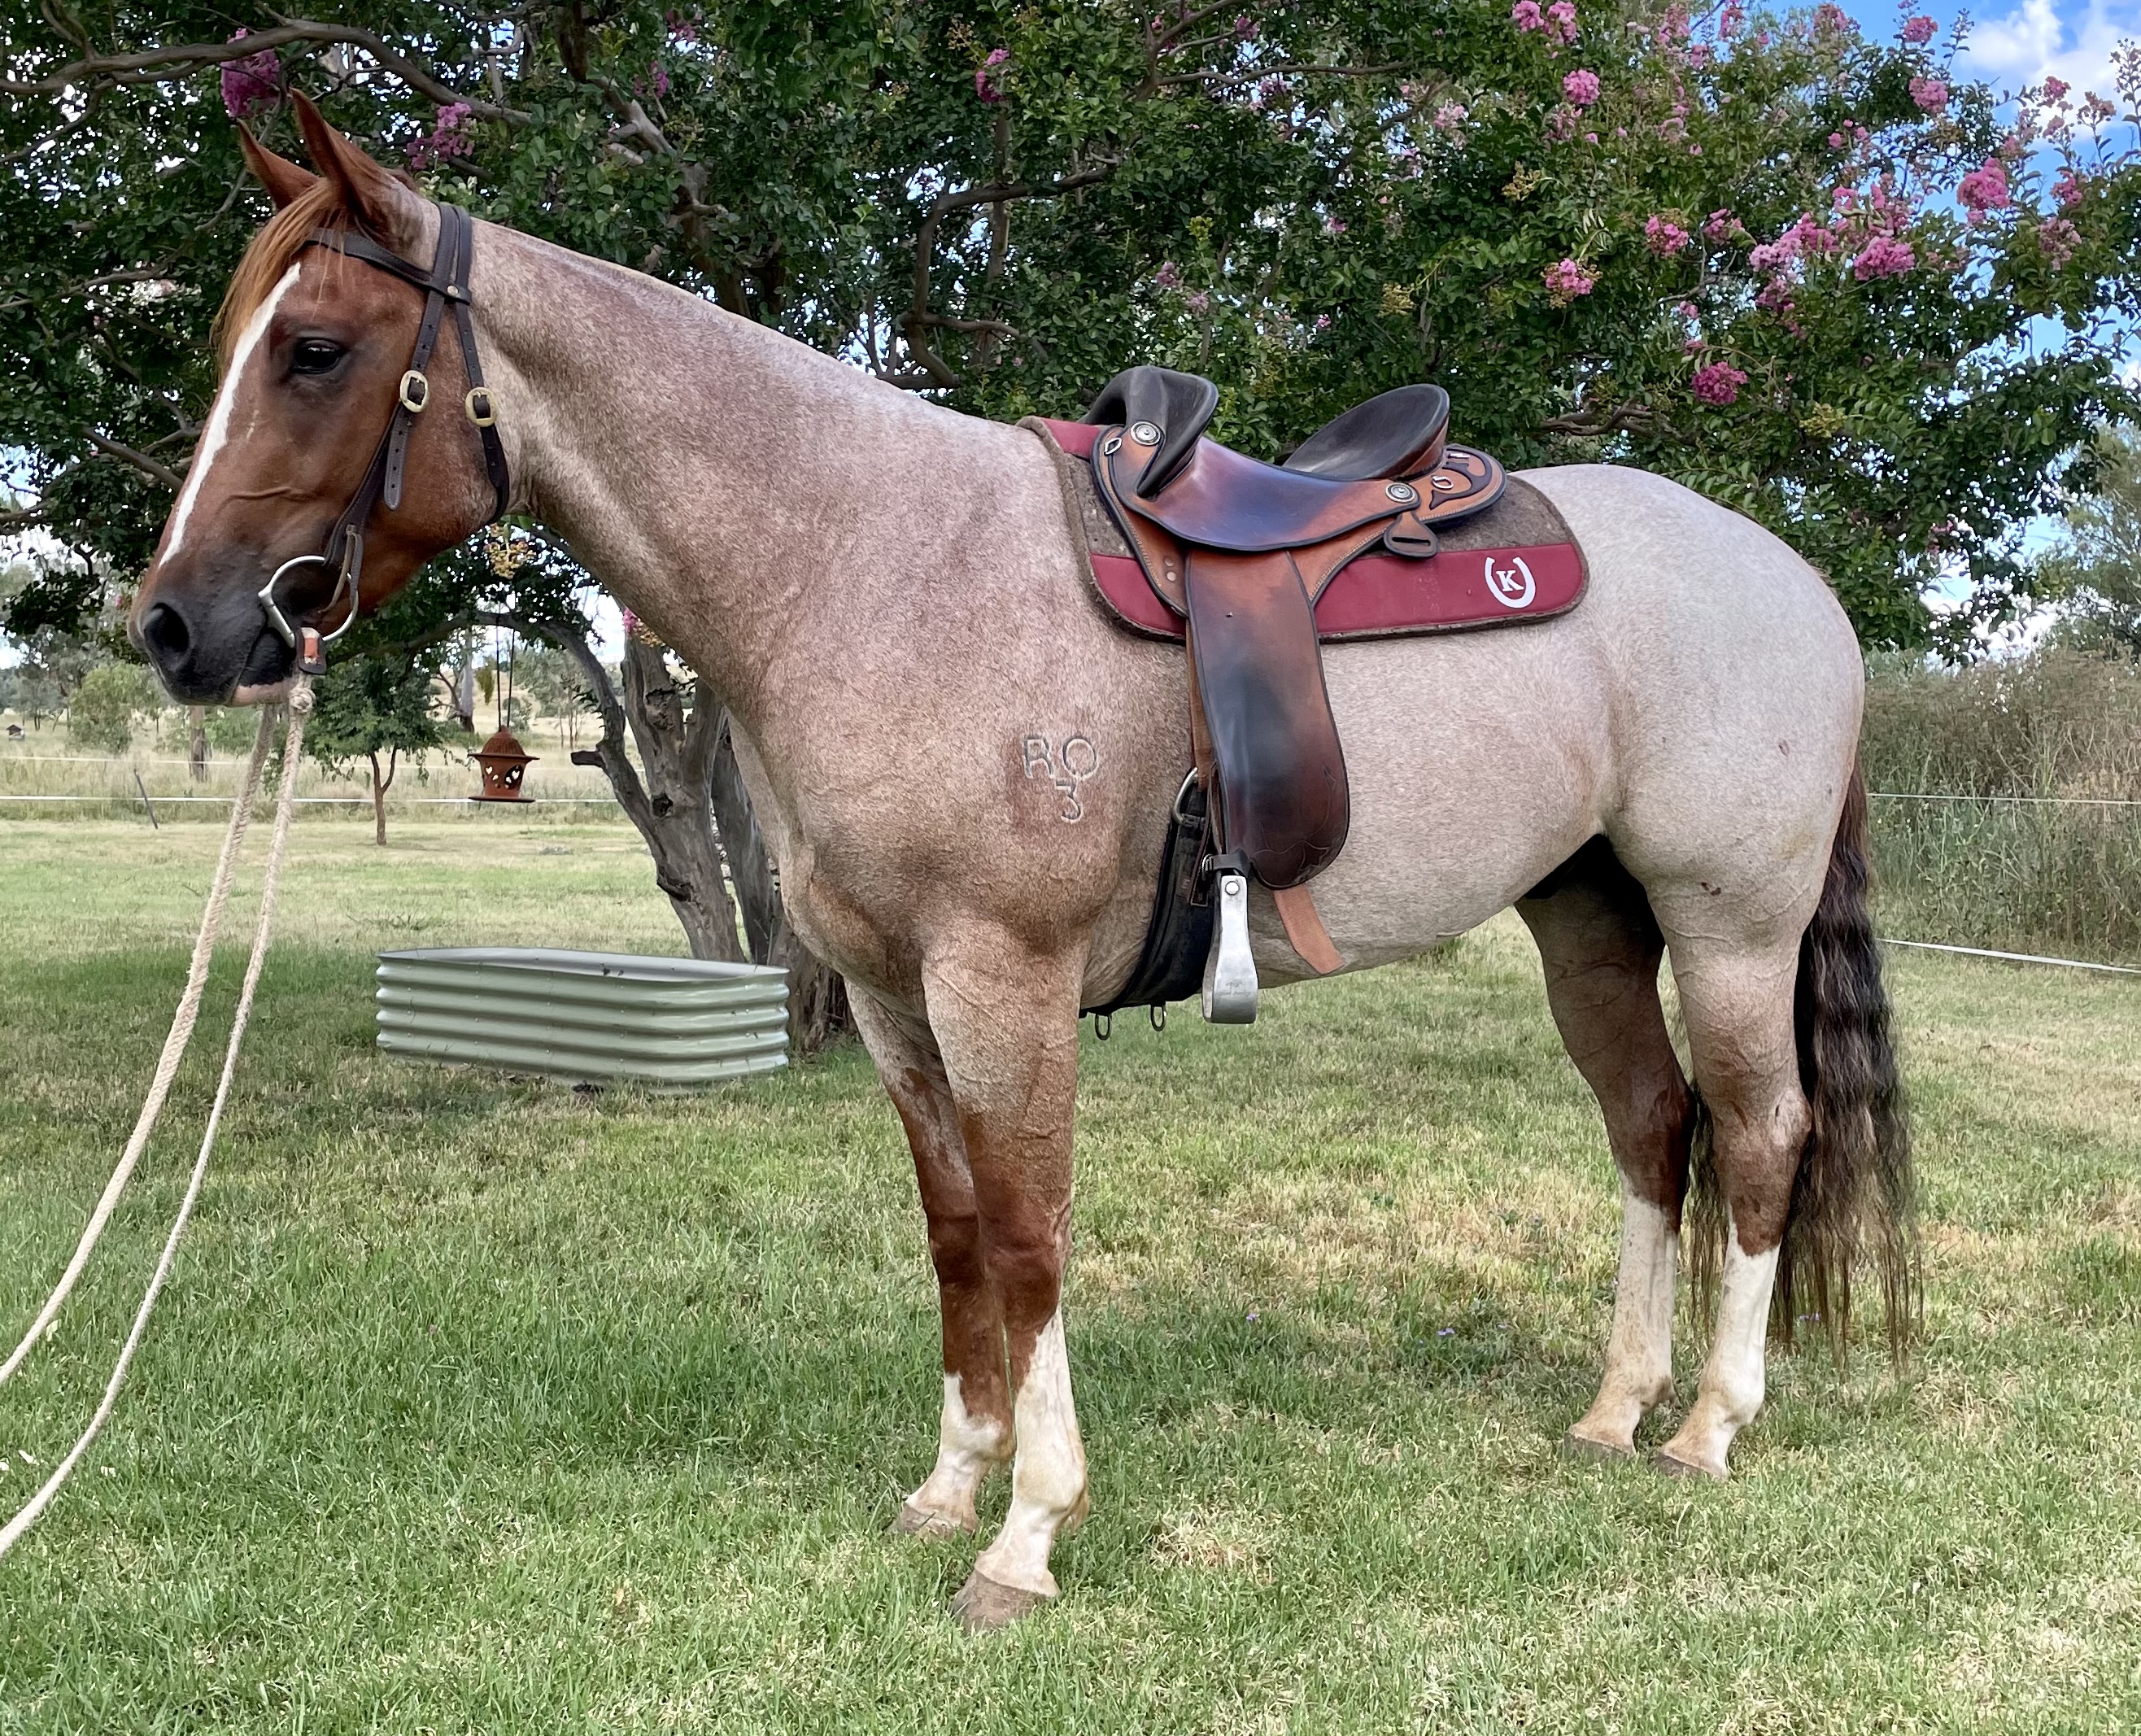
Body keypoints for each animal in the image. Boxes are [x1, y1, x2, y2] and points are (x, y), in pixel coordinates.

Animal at [128, 96, 1914, 1630]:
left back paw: (1710, 1424)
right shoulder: (890, 997)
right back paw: (1616, 1406)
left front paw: (1030, 1532)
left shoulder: (1006, 979)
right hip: (1587, 916)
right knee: (1652, 1130)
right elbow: (955, 1232)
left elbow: (1033, 1235)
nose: (171, 626)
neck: (865, 562)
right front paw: (950, 1485)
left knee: (1759, 1135)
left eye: (316, 349)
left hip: (1727, 922)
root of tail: (1792, 580)